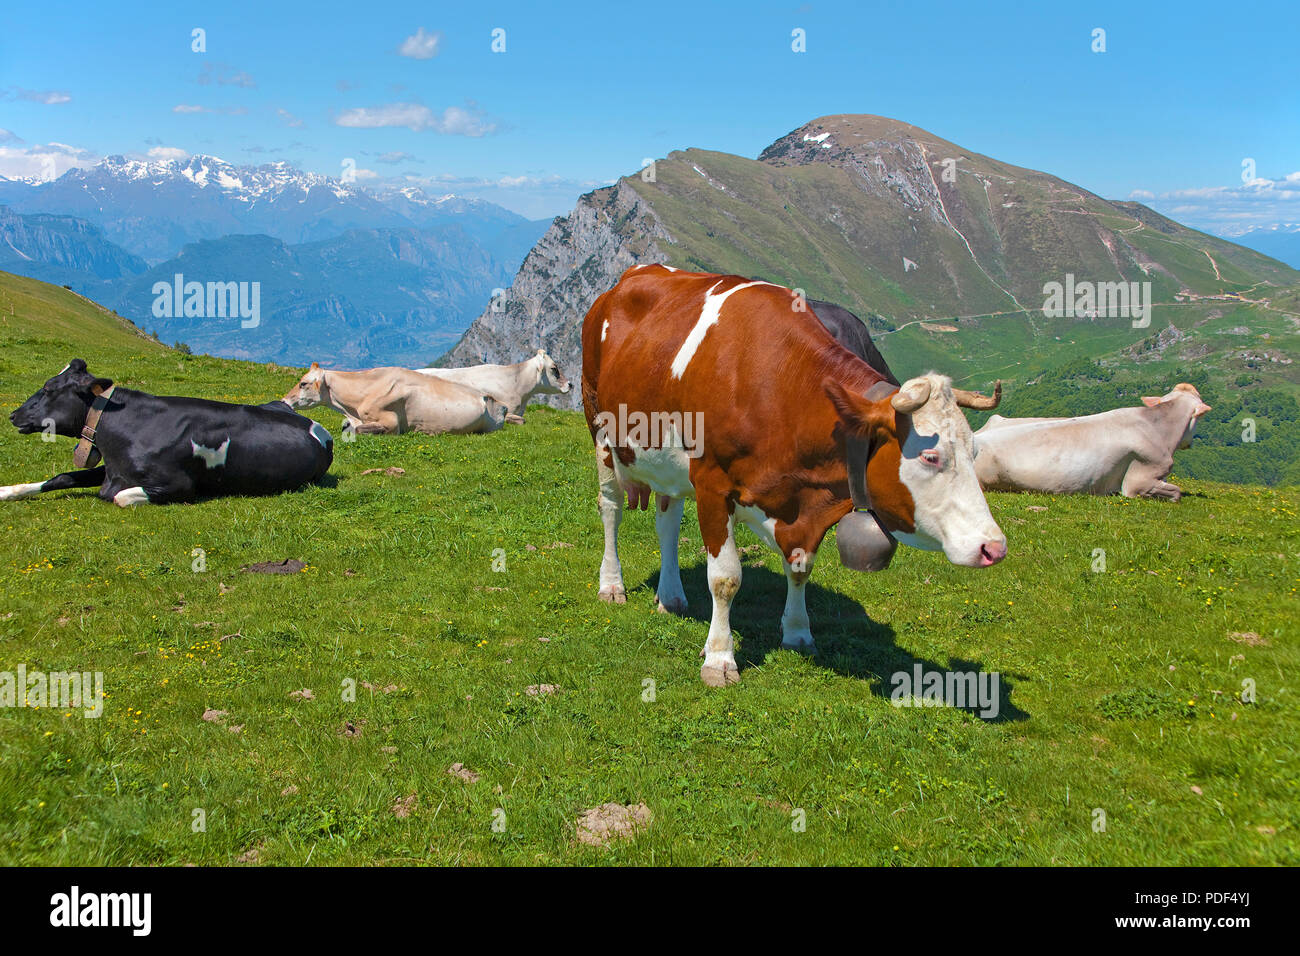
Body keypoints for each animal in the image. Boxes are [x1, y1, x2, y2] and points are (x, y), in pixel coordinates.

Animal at [2, 361, 335, 509]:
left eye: (48, 388)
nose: (13, 414)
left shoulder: (178, 485)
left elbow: (119, 497)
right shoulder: (111, 470)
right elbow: (62, 477)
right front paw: (7, 491)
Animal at [585, 265, 1008, 686]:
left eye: (974, 452)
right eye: (930, 456)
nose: (994, 547)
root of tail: (632, 275)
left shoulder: (803, 506)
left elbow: (801, 567)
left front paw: (798, 633)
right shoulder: (712, 485)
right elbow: (725, 578)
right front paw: (719, 659)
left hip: (666, 463)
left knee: (667, 522)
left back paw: (671, 595)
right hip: (601, 434)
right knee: (611, 510)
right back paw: (612, 584)